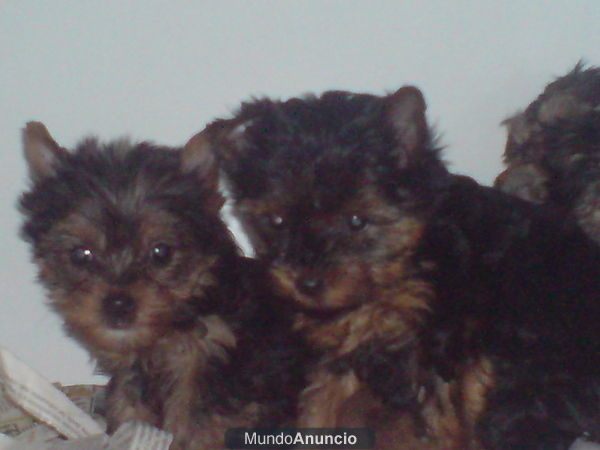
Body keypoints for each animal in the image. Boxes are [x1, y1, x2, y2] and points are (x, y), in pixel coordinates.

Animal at [19, 121, 304, 448]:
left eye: (161, 252)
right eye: (80, 255)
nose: (118, 304)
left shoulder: (208, 368)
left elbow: (197, 425)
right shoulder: (132, 373)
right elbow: (128, 410)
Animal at [205, 86, 600, 448]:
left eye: (357, 220)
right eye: (277, 221)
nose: (308, 283)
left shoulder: (432, 341)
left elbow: (433, 417)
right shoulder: (338, 345)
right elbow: (319, 400)